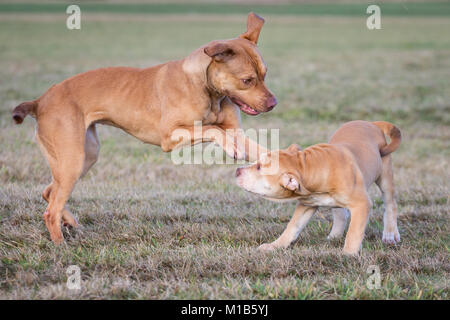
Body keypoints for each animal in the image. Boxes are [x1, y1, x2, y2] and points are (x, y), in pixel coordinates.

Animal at [12, 11, 276, 242]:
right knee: (51, 209)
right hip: (72, 159)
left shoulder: (236, 132)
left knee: (50, 193)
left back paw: (73, 224)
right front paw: (229, 147)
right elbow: (213, 129)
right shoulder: (170, 137)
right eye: (247, 80)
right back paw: (60, 245)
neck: (207, 88)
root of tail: (40, 101)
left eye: (265, 74)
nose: (273, 103)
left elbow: (259, 149)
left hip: (86, 155)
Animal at [236, 120, 400, 255]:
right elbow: (292, 227)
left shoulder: (361, 204)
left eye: (259, 167)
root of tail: (371, 123)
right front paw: (276, 245)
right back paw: (335, 235)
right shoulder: (306, 204)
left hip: (385, 174)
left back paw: (390, 234)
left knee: (390, 204)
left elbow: (354, 232)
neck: (307, 167)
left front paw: (347, 255)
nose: (237, 170)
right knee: (341, 214)